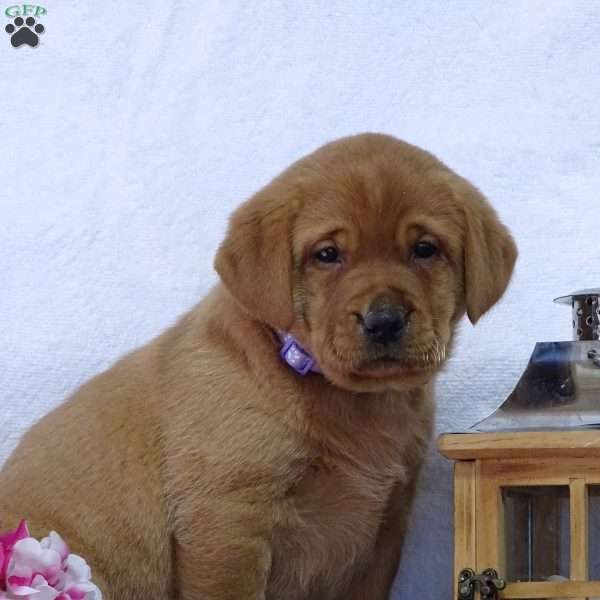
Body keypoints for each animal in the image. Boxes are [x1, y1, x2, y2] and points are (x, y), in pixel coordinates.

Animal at [0, 134, 516, 596]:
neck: (351, 403)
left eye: (425, 249)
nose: (384, 320)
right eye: (327, 254)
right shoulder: (227, 522)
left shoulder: (384, 528)